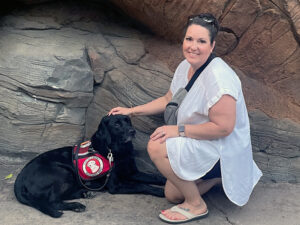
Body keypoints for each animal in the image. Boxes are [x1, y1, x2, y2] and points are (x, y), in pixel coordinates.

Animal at [14, 115, 165, 217]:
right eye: (116, 125)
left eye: (127, 121)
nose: (132, 131)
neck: (116, 150)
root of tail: (20, 178)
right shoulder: (115, 186)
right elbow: (142, 185)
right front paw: (160, 191)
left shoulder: (132, 172)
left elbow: (154, 177)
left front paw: (165, 181)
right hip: (63, 172)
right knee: (52, 201)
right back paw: (77, 205)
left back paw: (85, 193)